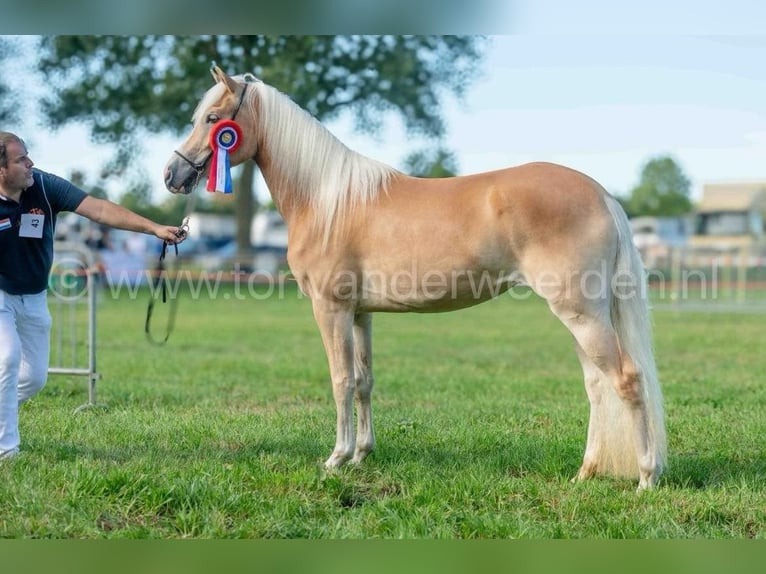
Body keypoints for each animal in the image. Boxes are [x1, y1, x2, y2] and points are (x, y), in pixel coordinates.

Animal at [165, 66, 668, 490]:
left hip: (581, 314)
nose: (173, 174)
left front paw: (336, 457)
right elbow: (364, 380)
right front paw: (361, 455)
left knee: (626, 379)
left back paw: (646, 477)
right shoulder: (361, 313)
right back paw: (587, 472)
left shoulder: (331, 308)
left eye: (213, 118)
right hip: (583, 317)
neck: (327, 201)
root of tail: (602, 194)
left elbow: (340, 379)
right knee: (597, 387)